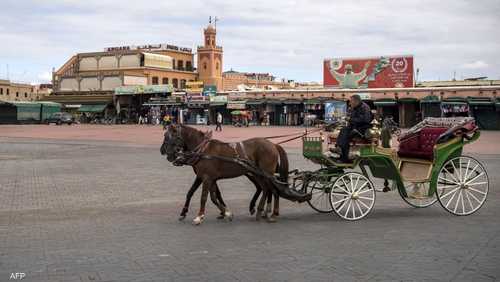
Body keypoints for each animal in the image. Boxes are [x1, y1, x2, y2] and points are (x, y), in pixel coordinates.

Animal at [160, 124, 292, 226]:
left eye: (168, 136)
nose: (163, 151)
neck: (203, 150)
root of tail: (273, 144)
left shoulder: (207, 178)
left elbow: (204, 197)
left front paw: (199, 216)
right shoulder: (204, 177)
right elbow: (198, 193)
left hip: (267, 173)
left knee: (273, 190)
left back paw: (271, 213)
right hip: (259, 174)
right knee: (266, 189)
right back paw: (261, 211)